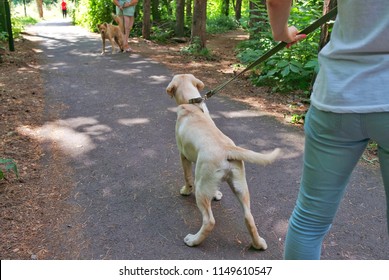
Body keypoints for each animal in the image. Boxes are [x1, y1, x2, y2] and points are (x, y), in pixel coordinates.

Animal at [165, 74, 280, 249]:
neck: (192, 105)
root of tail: (227, 149)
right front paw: (216, 194)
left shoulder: (183, 155)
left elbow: (187, 177)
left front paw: (185, 190)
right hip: (240, 186)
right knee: (249, 217)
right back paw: (258, 244)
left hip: (201, 185)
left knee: (209, 221)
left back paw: (193, 240)